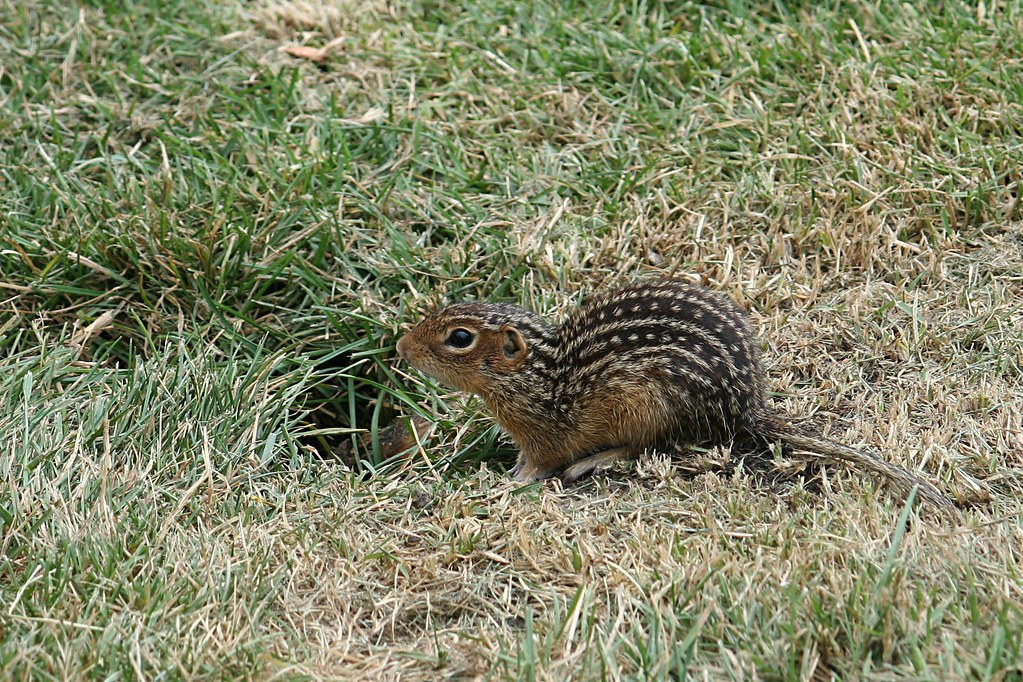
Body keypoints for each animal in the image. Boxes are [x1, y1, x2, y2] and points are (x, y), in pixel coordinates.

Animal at [396, 279, 955, 511]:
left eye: (459, 338)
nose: (401, 346)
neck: (538, 374)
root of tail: (746, 409)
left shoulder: (546, 435)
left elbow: (540, 463)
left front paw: (509, 481)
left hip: (649, 404)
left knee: (647, 446)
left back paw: (595, 461)